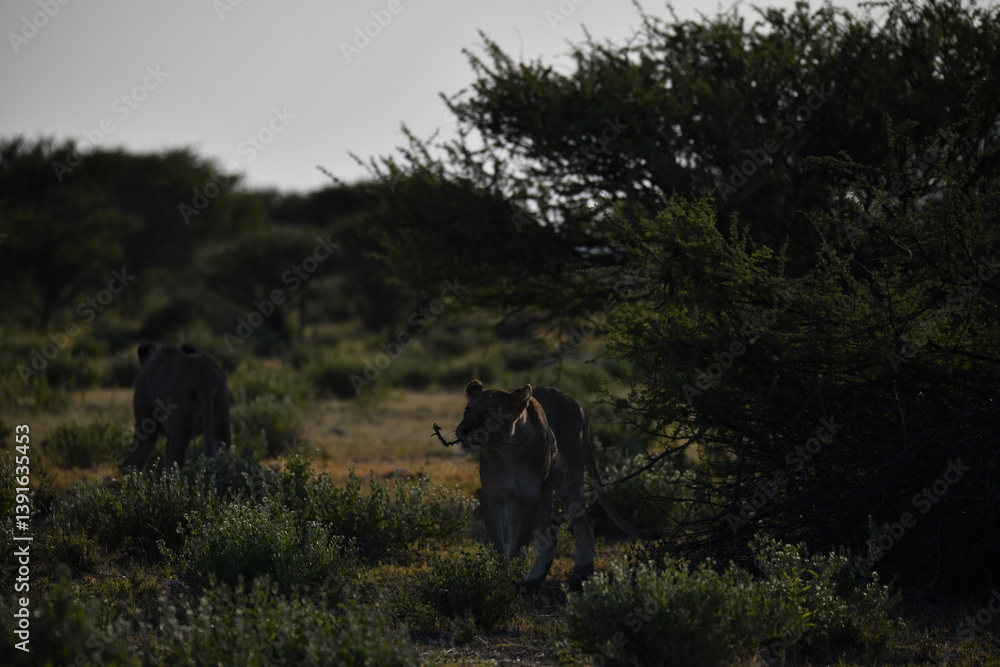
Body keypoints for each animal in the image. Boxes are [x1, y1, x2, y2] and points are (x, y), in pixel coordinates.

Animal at [454, 379, 644, 588]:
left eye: (487, 413)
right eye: (467, 410)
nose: (462, 430)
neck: (505, 451)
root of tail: (578, 406)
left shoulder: (528, 497)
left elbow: (520, 541)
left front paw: (509, 578)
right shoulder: (494, 495)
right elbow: (497, 541)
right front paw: (498, 576)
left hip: (566, 480)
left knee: (585, 522)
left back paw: (581, 574)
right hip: (543, 492)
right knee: (550, 536)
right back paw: (534, 580)